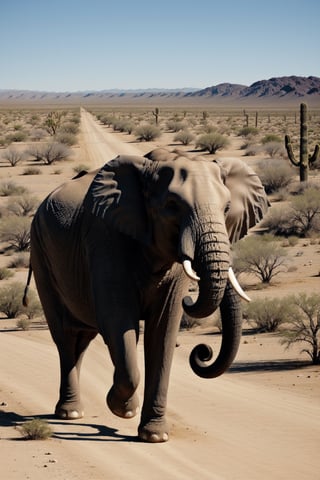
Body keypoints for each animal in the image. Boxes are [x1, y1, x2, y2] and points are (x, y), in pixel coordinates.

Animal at [23, 146, 268, 442]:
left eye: (227, 208)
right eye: (172, 206)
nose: (203, 352)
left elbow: (163, 331)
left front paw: (154, 436)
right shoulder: (106, 239)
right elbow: (119, 322)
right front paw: (122, 408)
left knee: (81, 340)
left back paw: (73, 412)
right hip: (40, 252)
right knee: (65, 335)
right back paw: (69, 413)